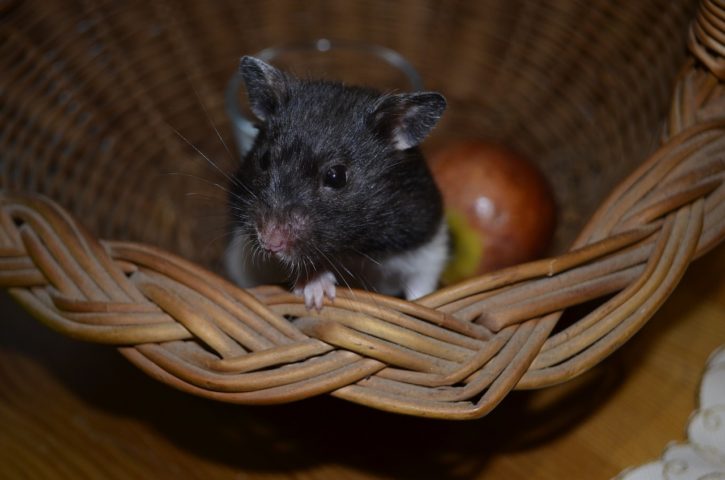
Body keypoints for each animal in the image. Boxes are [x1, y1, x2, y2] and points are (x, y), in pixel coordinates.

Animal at [226, 54, 450, 310]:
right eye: (264, 159)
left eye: (336, 176)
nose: (270, 243)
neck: (356, 247)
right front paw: (315, 295)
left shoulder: (427, 245)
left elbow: (421, 287)